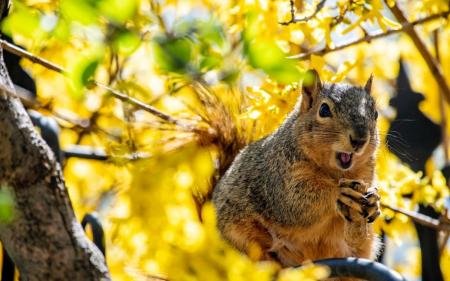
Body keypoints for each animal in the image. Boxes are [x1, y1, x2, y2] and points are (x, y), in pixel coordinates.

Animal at [213, 69, 382, 270]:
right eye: (324, 110)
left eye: (376, 114)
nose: (359, 139)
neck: (337, 172)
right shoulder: (277, 180)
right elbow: (295, 204)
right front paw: (338, 192)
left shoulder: (365, 176)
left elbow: (355, 239)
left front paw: (372, 203)